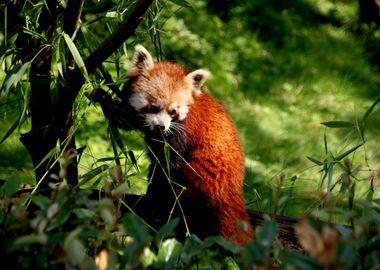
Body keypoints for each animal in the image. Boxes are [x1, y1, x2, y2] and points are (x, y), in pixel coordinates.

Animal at [101, 44, 254, 245]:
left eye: (173, 111)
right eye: (154, 107)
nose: (161, 126)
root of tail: (234, 191)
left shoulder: (182, 133)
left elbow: (168, 166)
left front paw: (153, 196)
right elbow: (127, 119)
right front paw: (100, 95)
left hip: (201, 175)